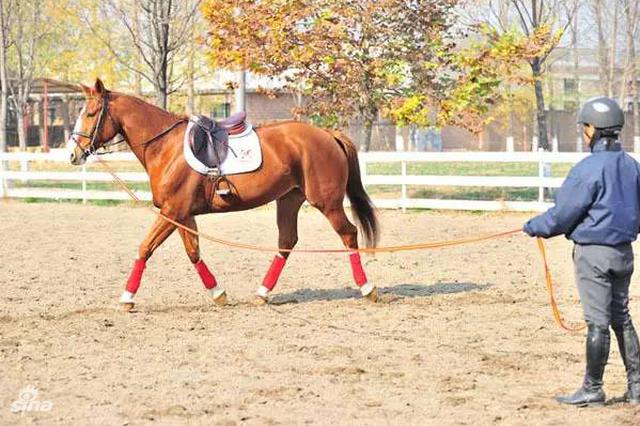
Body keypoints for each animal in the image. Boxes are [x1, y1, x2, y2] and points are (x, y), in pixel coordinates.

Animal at [68, 79, 380, 310]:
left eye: (91, 114)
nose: (73, 154)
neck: (165, 146)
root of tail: (328, 134)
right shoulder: (182, 215)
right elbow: (193, 252)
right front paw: (218, 294)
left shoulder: (171, 212)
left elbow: (145, 248)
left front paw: (127, 298)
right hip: (289, 199)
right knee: (286, 242)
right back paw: (262, 293)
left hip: (327, 203)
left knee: (349, 234)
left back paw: (367, 288)